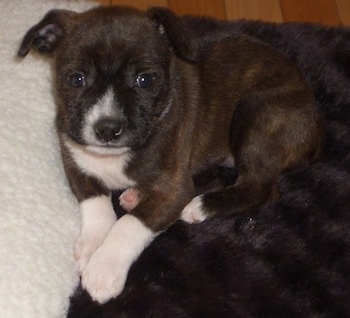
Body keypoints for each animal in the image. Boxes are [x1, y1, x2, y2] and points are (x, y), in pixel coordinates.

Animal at [17, 4, 324, 304]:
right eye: (77, 79)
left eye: (144, 80)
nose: (107, 128)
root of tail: (315, 128)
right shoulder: (75, 163)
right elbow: (97, 204)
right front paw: (93, 245)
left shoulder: (174, 188)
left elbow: (131, 223)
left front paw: (104, 268)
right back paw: (137, 195)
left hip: (258, 114)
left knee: (261, 188)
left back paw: (200, 206)